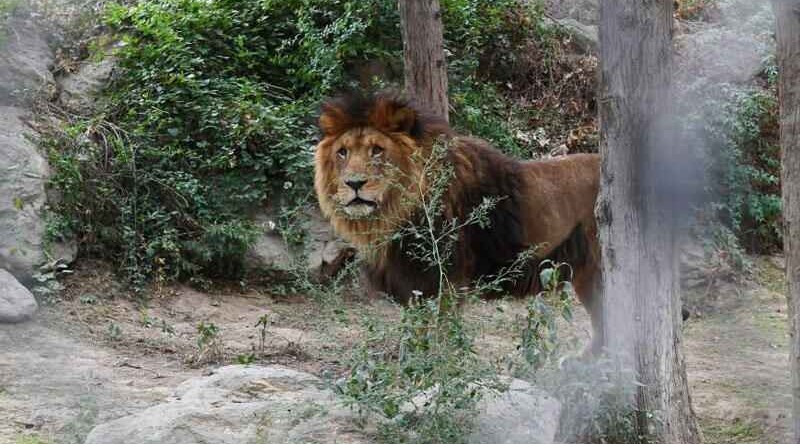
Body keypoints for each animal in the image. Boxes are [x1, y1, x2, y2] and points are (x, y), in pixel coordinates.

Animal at [312, 93, 600, 350]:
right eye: (342, 153)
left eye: (377, 151)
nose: (354, 183)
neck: (395, 215)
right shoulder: (414, 284)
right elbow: (415, 330)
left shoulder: (446, 281)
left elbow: (441, 332)